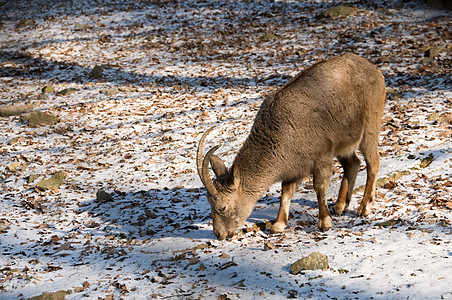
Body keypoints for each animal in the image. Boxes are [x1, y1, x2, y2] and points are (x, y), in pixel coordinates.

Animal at [196, 52, 386, 240]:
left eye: (222, 207)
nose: (219, 234)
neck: (280, 131)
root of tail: (375, 70)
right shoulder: (291, 166)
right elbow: (285, 192)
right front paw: (278, 225)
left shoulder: (322, 158)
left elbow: (319, 187)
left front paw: (324, 222)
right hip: (344, 144)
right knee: (353, 163)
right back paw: (340, 206)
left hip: (370, 127)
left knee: (373, 163)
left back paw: (364, 208)